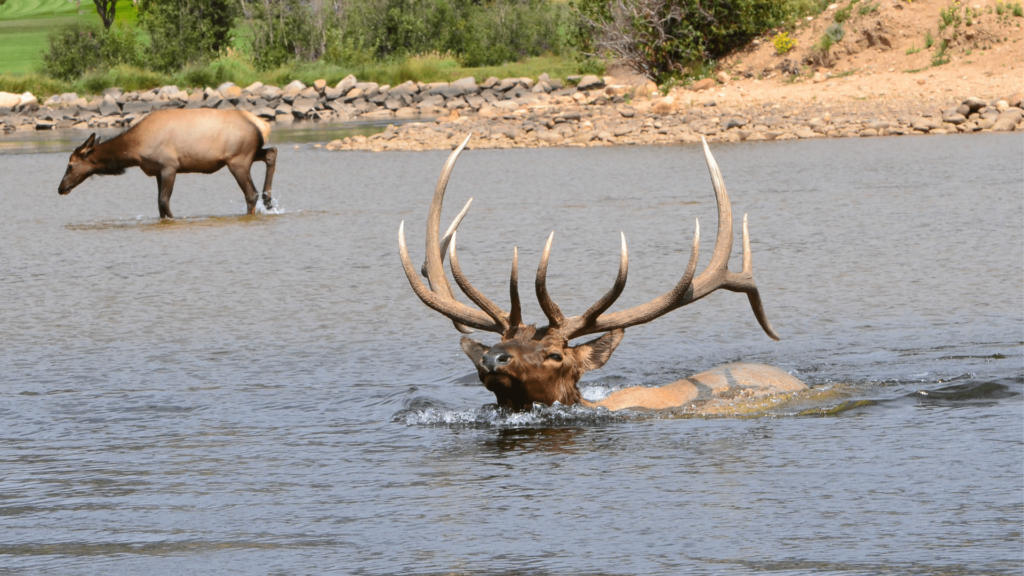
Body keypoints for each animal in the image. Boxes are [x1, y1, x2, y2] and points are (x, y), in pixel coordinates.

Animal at [58, 108, 278, 217]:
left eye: (70, 165)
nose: (61, 188)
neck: (134, 150)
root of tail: (261, 124)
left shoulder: (169, 167)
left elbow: (164, 201)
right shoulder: (156, 171)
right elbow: (158, 204)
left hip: (238, 160)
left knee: (250, 193)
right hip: (247, 154)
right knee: (271, 152)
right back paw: (268, 199)